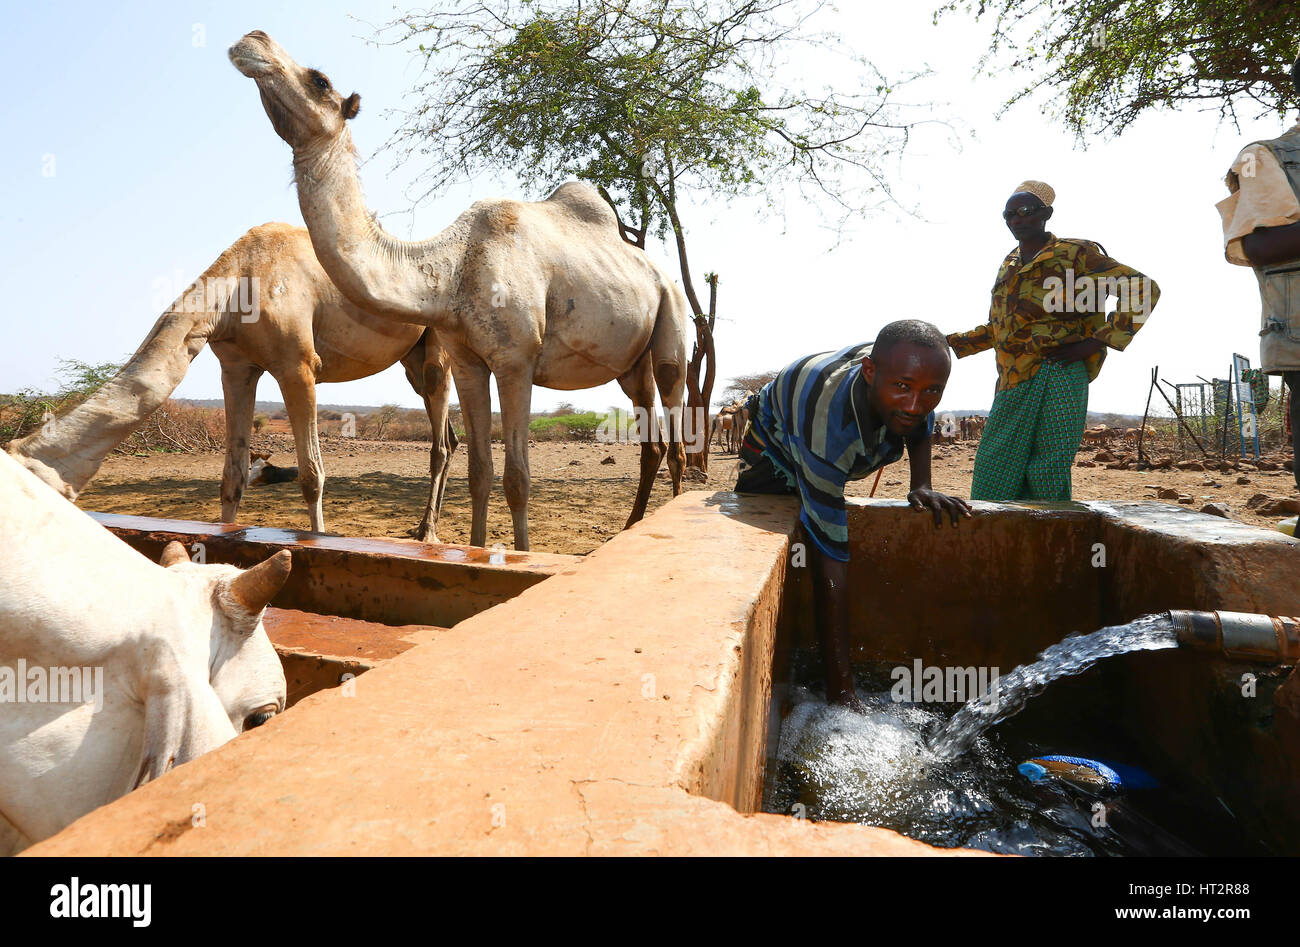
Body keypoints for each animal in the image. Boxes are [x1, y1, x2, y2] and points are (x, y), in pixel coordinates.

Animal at [3, 222, 457, 543]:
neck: (236, 286)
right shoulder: (237, 367)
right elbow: (232, 477)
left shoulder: (298, 365)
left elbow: (312, 474)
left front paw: (321, 541)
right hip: (411, 358)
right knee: (449, 437)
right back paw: (422, 528)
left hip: (438, 346)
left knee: (439, 438)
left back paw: (430, 534)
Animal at [230, 33, 691, 551]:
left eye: (319, 80)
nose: (253, 40)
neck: (453, 268)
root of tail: (661, 273)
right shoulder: (468, 361)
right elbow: (480, 472)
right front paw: (475, 548)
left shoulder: (516, 359)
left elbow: (518, 477)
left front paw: (522, 555)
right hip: (631, 361)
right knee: (651, 436)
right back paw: (630, 528)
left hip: (672, 315)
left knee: (675, 420)